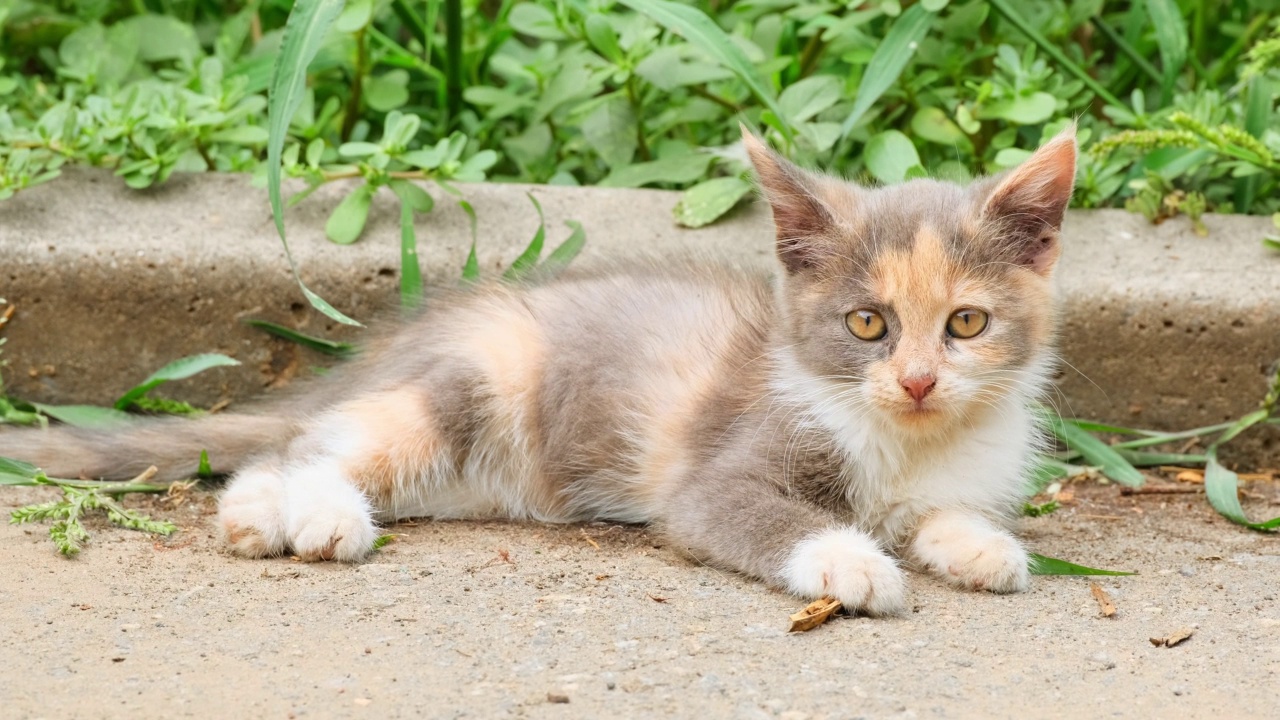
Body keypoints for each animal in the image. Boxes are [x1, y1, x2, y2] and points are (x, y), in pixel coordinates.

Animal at [0, 127, 1075, 609]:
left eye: (966, 323)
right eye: (866, 324)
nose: (919, 380)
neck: (902, 439)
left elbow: (938, 513)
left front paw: (976, 546)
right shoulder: (720, 467)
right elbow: (759, 515)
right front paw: (854, 561)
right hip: (478, 379)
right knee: (310, 445)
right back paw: (294, 514)